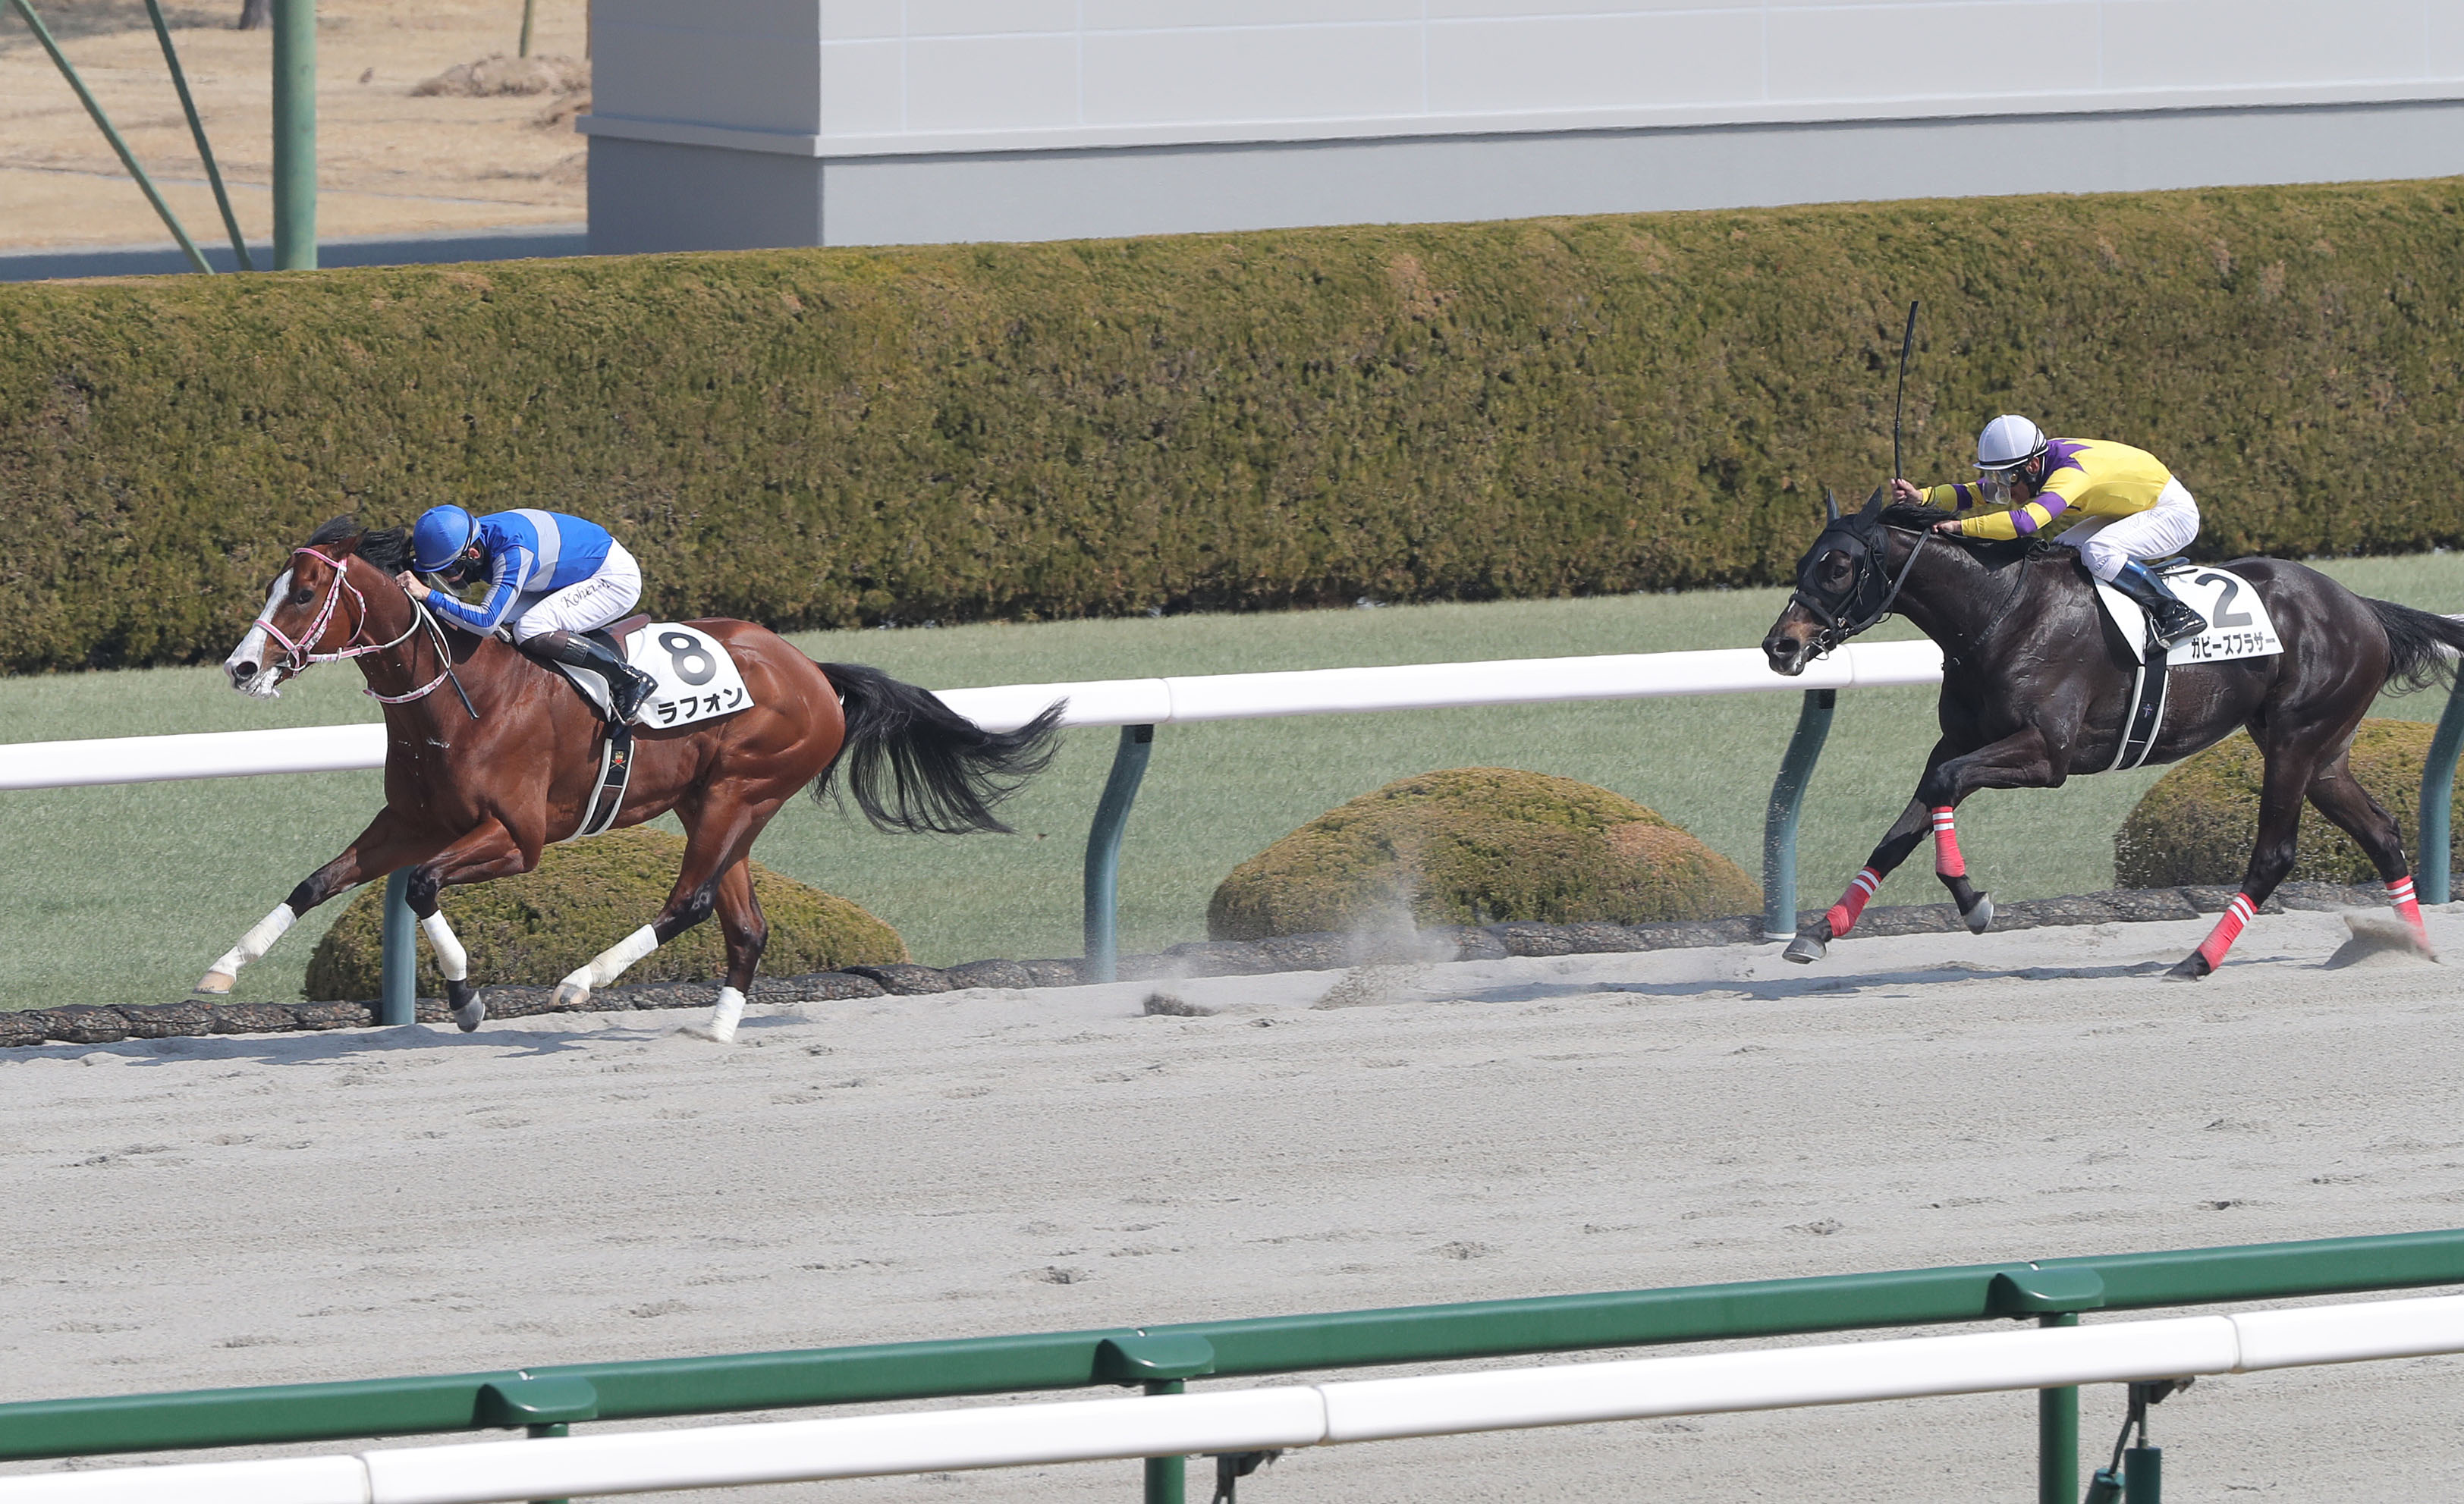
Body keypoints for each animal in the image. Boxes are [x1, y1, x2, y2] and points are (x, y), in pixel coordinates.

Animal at [205, 517, 1061, 1040]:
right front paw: (224, 966)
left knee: (690, 902)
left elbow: (420, 887)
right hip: (714, 803)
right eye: (274, 588)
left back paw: (581, 983)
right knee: (743, 922)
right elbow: (318, 882)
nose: (241, 667)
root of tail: (813, 672)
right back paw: (716, 1029)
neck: (460, 692)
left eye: (305, 593)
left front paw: (467, 998)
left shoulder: (517, 839)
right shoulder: (413, 821)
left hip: (740, 792)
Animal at [1761, 488, 2464, 979]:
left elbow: (1943, 787)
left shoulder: (2046, 755)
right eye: (1803, 560)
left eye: (1839, 566)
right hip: (2319, 751)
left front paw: (1973, 901)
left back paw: (2198, 959)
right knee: (2382, 831)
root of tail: (2362, 607)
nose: (1779, 646)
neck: (2000, 612)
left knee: (2274, 854)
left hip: (2297, 740)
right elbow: (1903, 828)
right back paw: (2416, 948)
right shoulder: (1958, 740)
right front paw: (1818, 932)